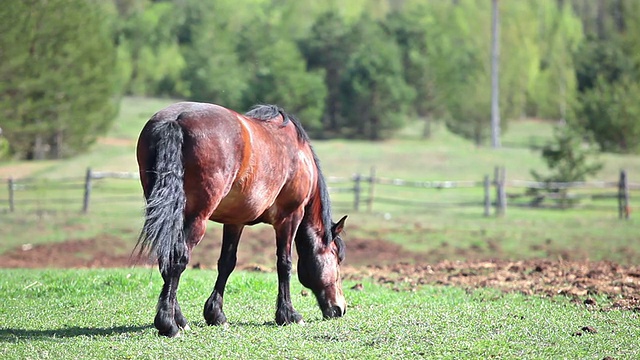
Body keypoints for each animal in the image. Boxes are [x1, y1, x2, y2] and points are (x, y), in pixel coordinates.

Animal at [132, 101, 348, 338]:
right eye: (336, 257)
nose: (340, 308)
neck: (300, 156)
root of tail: (176, 120)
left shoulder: (235, 221)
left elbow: (227, 263)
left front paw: (216, 314)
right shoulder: (290, 218)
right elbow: (285, 264)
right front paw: (288, 314)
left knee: (167, 257)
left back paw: (179, 320)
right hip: (197, 218)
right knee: (178, 258)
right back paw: (168, 324)